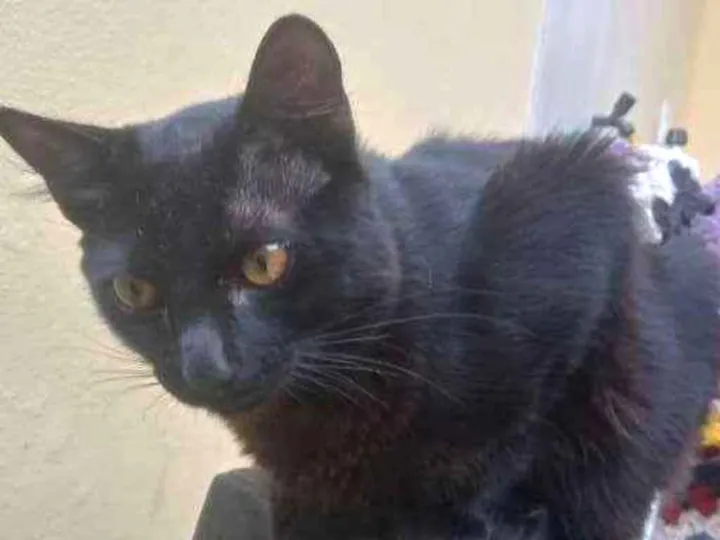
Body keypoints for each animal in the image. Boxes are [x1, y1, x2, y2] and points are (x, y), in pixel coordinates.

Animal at [1, 13, 718, 540]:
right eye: (135, 291)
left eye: (264, 263)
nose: (205, 365)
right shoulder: (304, 488)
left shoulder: (574, 217)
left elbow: (511, 442)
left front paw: (486, 507)